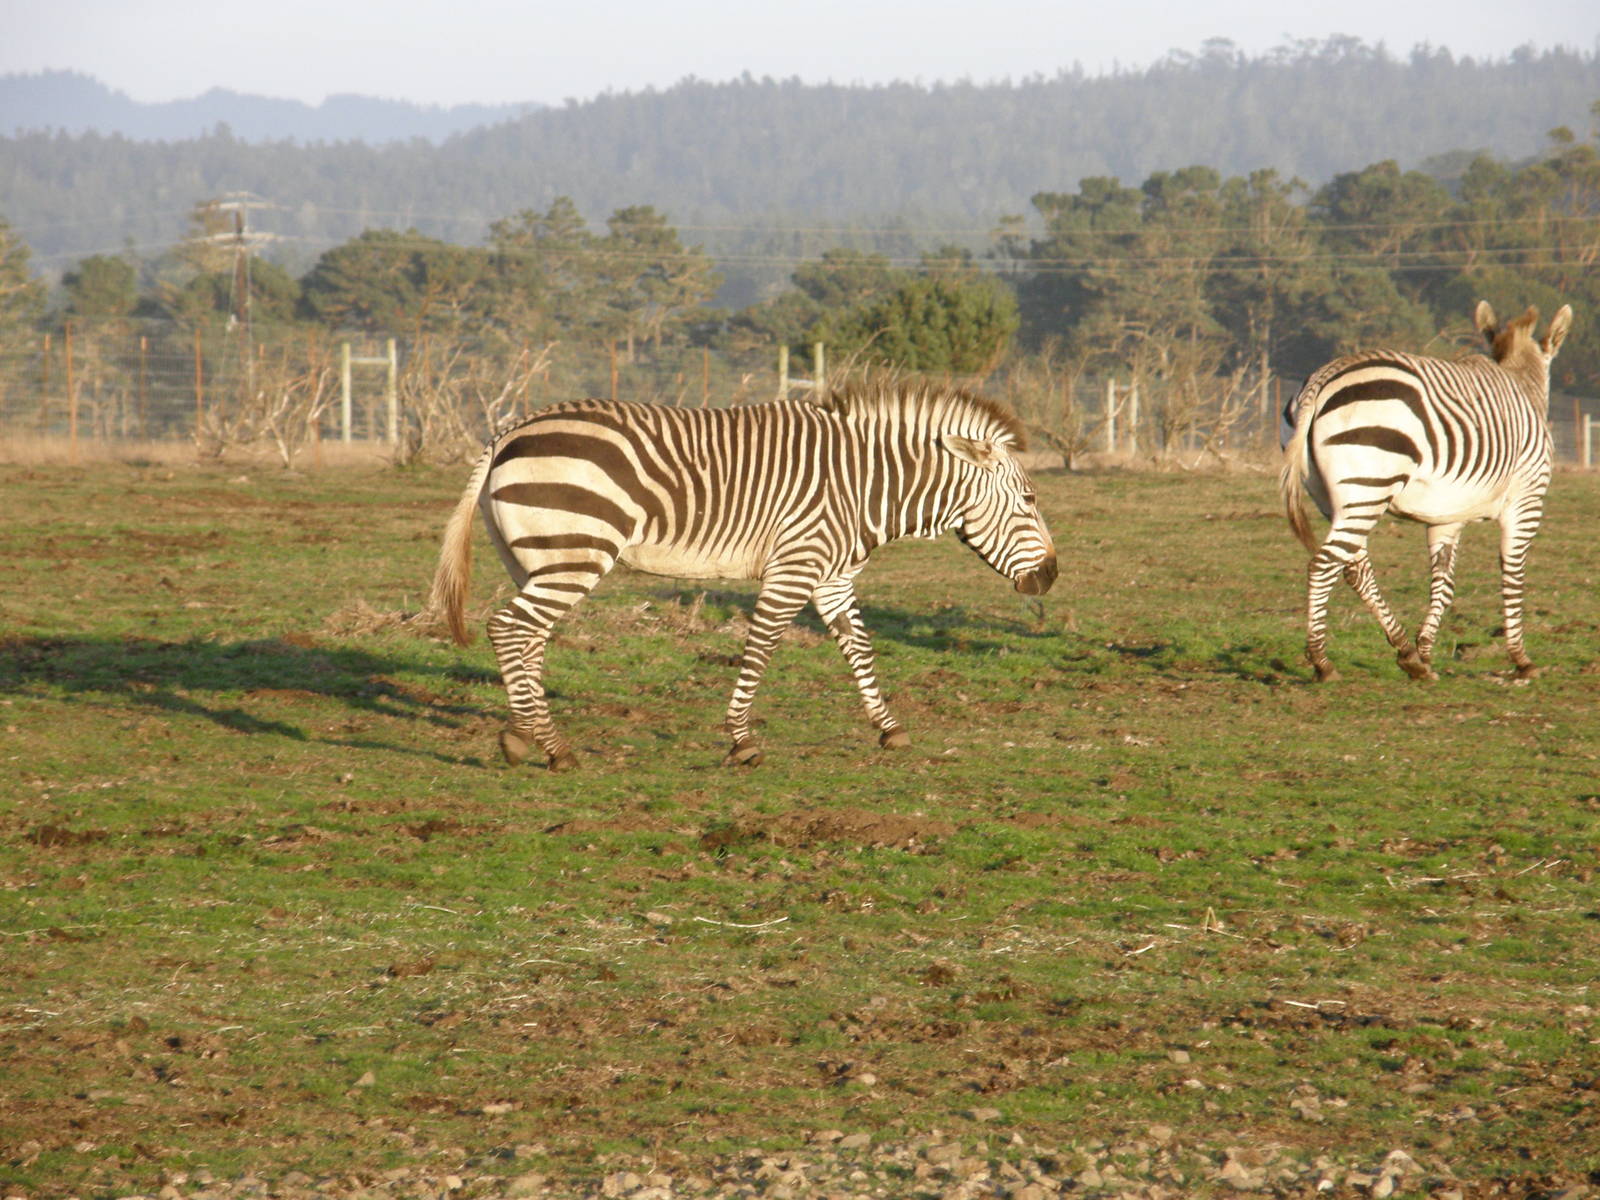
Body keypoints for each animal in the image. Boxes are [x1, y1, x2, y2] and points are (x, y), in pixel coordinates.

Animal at [428, 375, 1058, 770]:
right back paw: (552, 747)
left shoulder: (831, 577)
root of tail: (510, 430)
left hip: (537, 559)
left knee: (527, 638)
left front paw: (889, 728)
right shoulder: (796, 565)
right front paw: (742, 741)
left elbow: (858, 647)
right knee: (511, 629)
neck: (866, 485)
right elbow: (761, 647)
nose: (1051, 576)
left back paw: (524, 734)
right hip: (576, 551)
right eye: (1028, 500)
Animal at [1280, 300, 1572, 682]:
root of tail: (1322, 378)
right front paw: (1521, 659)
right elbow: (1513, 576)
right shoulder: (1526, 502)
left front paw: (1426, 652)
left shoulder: (1446, 518)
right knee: (1324, 564)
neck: (1522, 386)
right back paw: (1322, 662)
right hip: (1369, 488)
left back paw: (1407, 655)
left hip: (1334, 499)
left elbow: (1442, 584)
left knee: (1355, 569)